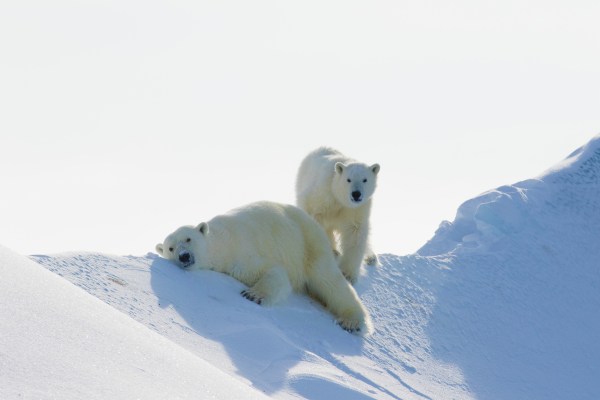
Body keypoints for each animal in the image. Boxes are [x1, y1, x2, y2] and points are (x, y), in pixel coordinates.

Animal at [155, 200, 370, 334]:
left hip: (309, 246)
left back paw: (351, 321)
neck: (219, 243)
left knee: (329, 281)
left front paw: (252, 295)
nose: (184, 256)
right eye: (170, 248)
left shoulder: (240, 251)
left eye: (188, 239)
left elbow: (272, 271)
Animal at [296, 148, 380, 284]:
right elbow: (315, 219)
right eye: (348, 179)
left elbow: (354, 232)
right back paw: (334, 250)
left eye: (365, 179)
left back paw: (371, 258)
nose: (356, 194)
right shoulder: (322, 196)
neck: (339, 197)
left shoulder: (357, 208)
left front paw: (348, 274)